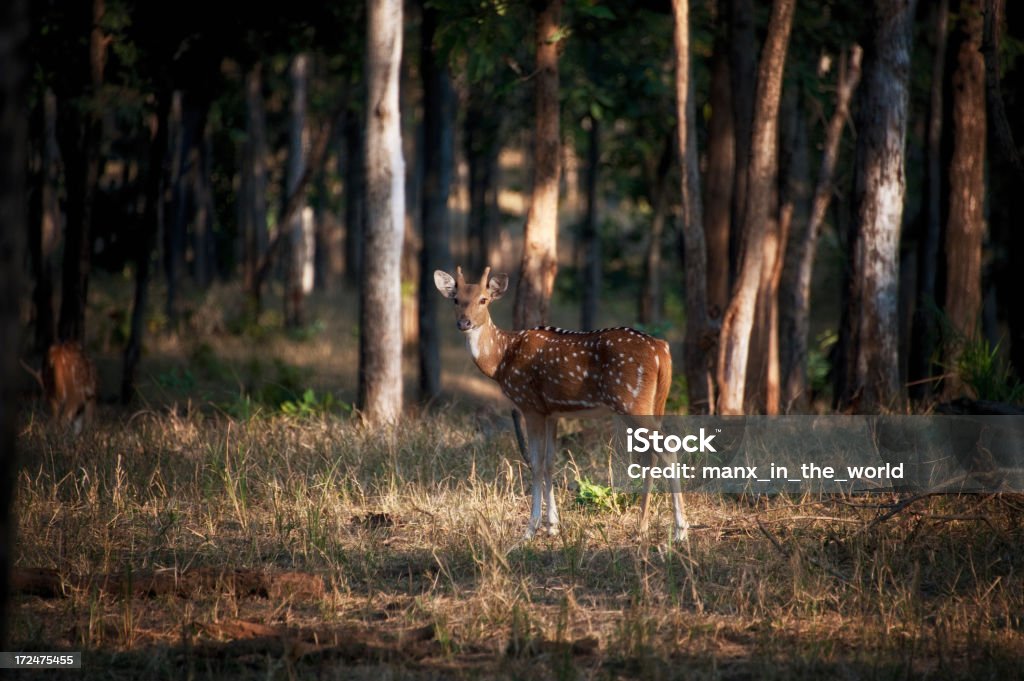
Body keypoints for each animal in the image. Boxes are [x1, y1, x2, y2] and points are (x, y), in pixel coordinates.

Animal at [432, 268, 688, 540]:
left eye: (483, 299)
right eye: (456, 299)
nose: (464, 323)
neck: (501, 359)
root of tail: (662, 350)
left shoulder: (529, 405)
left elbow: (535, 463)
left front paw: (530, 529)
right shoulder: (552, 411)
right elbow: (550, 462)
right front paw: (552, 525)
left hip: (631, 401)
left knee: (667, 448)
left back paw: (680, 531)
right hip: (650, 404)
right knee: (652, 454)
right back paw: (642, 527)